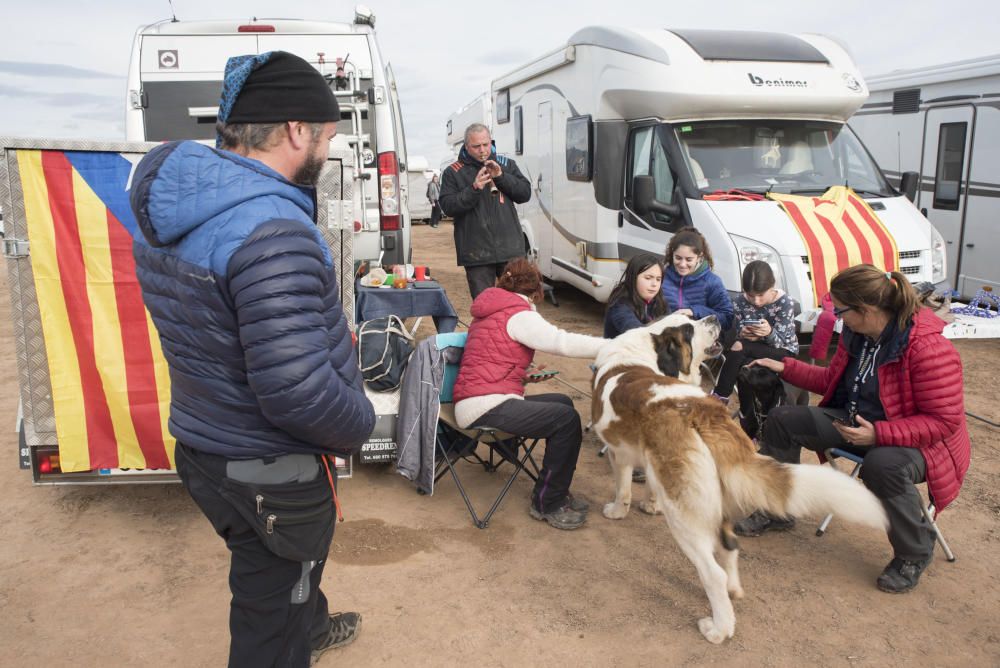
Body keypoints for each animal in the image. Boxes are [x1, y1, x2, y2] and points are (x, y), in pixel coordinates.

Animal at [588, 316, 888, 644]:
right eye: (690, 327)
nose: (714, 318)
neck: (644, 350)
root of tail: (705, 413)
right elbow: (650, 486)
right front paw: (650, 505)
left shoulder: (618, 451)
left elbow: (623, 486)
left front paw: (617, 511)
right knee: (730, 548)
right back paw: (733, 590)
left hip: (684, 516)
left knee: (712, 573)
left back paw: (719, 628)